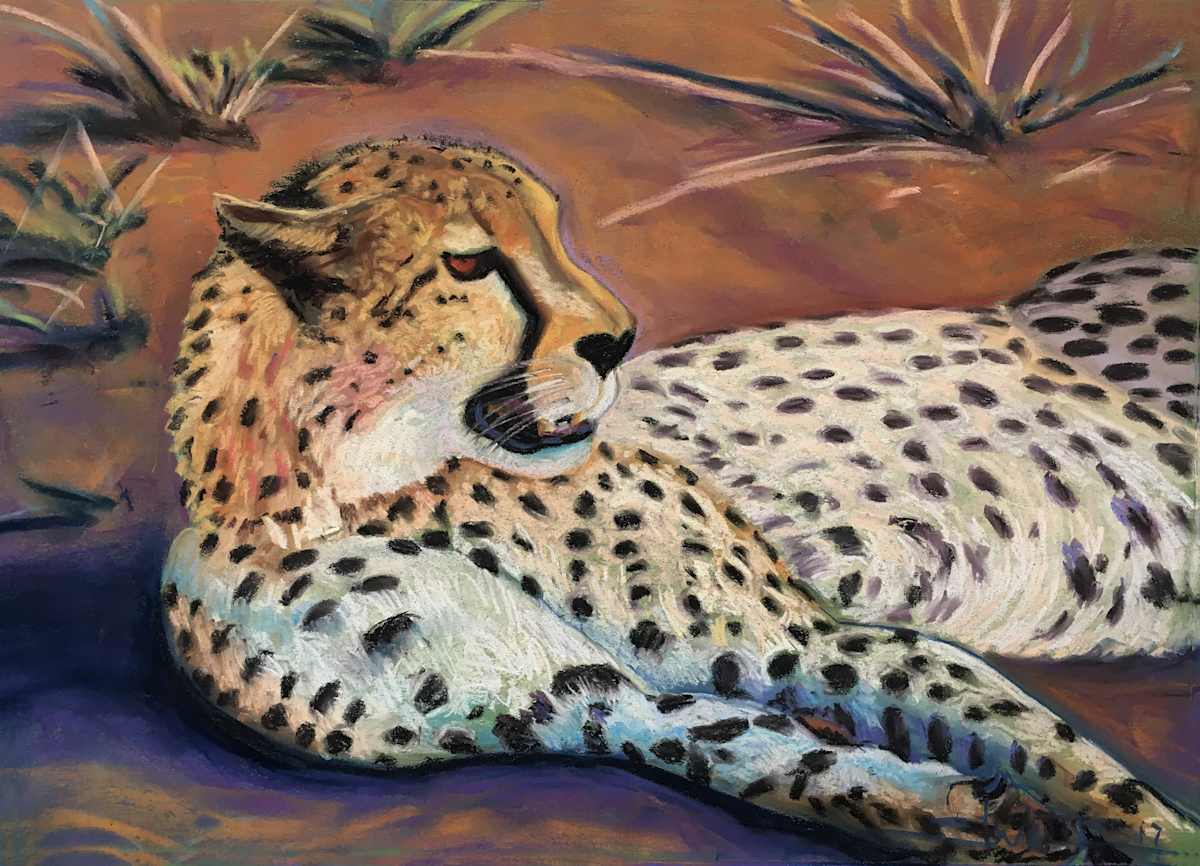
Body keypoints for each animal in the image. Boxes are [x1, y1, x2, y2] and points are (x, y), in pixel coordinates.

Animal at [163, 136, 1197, 862]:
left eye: (554, 233)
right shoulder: (581, 701)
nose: (618, 339)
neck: (340, 483)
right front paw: (960, 815)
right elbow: (759, 751)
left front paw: (1154, 833)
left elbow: (1048, 746)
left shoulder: (806, 640)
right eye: (468, 265)